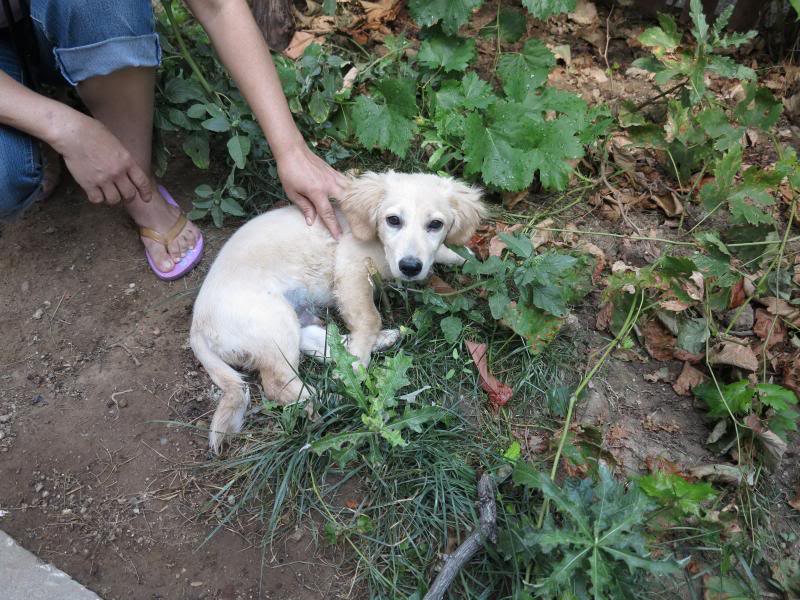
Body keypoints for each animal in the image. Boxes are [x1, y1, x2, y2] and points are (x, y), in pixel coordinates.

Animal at [192, 169, 488, 450]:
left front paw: (464, 257)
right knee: (278, 382)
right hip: (273, 318)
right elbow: (370, 317)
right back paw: (323, 398)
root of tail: (196, 328)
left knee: (314, 342)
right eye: (393, 220)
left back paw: (372, 344)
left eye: (435, 225)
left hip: (288, 319)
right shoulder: (351, 270)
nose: (410, 267)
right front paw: (356, 370)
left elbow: (443, 254)